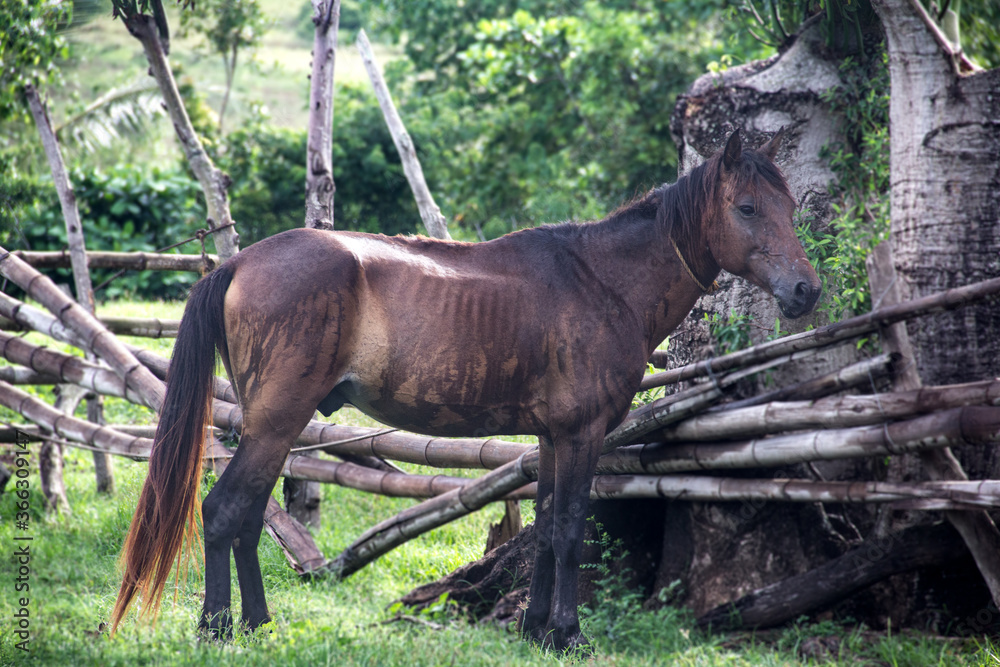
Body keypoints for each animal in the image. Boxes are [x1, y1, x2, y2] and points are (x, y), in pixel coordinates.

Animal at [111, 128, 820, 650]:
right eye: (747, 208)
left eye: (790, 208)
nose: (806, 290)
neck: (602, 280)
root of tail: (239, 261)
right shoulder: (583, 433)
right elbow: (569, 528)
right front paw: (567, 634)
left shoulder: (552, 436)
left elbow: (546, 525)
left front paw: (534, 630)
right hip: (277, 423)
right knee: (225, 511)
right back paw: (218, 628)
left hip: (273, 429)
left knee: (249, 517)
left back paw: (258, 625)